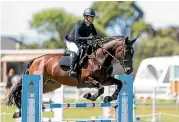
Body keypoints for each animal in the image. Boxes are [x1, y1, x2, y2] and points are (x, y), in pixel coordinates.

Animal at [5, 35, 137, 118]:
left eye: (133, 53)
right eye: (126, 51)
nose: (129, 70)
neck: (100, 59)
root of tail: (36, 59)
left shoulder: (105, 79)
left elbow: (119, 83)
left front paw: (110, 98)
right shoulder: (87, 80)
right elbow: (100, 89)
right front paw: (89, 96)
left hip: (50, 85)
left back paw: (19, 112)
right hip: (38, 80)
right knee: (21, 92)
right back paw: (19, 112)